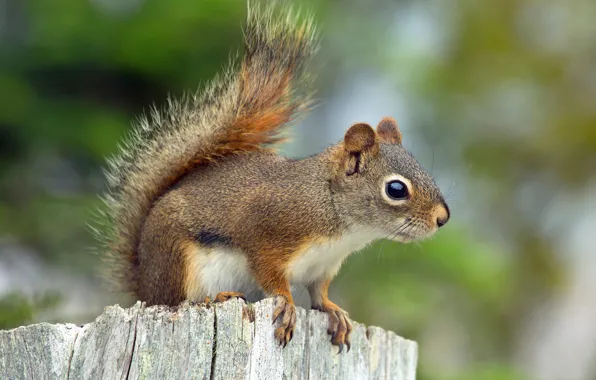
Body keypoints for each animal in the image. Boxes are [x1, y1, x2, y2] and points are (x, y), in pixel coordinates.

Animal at [95, 0, 450, 354]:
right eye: (396, 189)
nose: (442, 218)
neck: (335, 212)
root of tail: (144, 284)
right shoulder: (267, 229)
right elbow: (273, 278)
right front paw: (288, 305)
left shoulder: (323, 266)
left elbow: (319, 292)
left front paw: (333, 311)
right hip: (177, 262)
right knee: (178, 301)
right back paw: (216, 297)